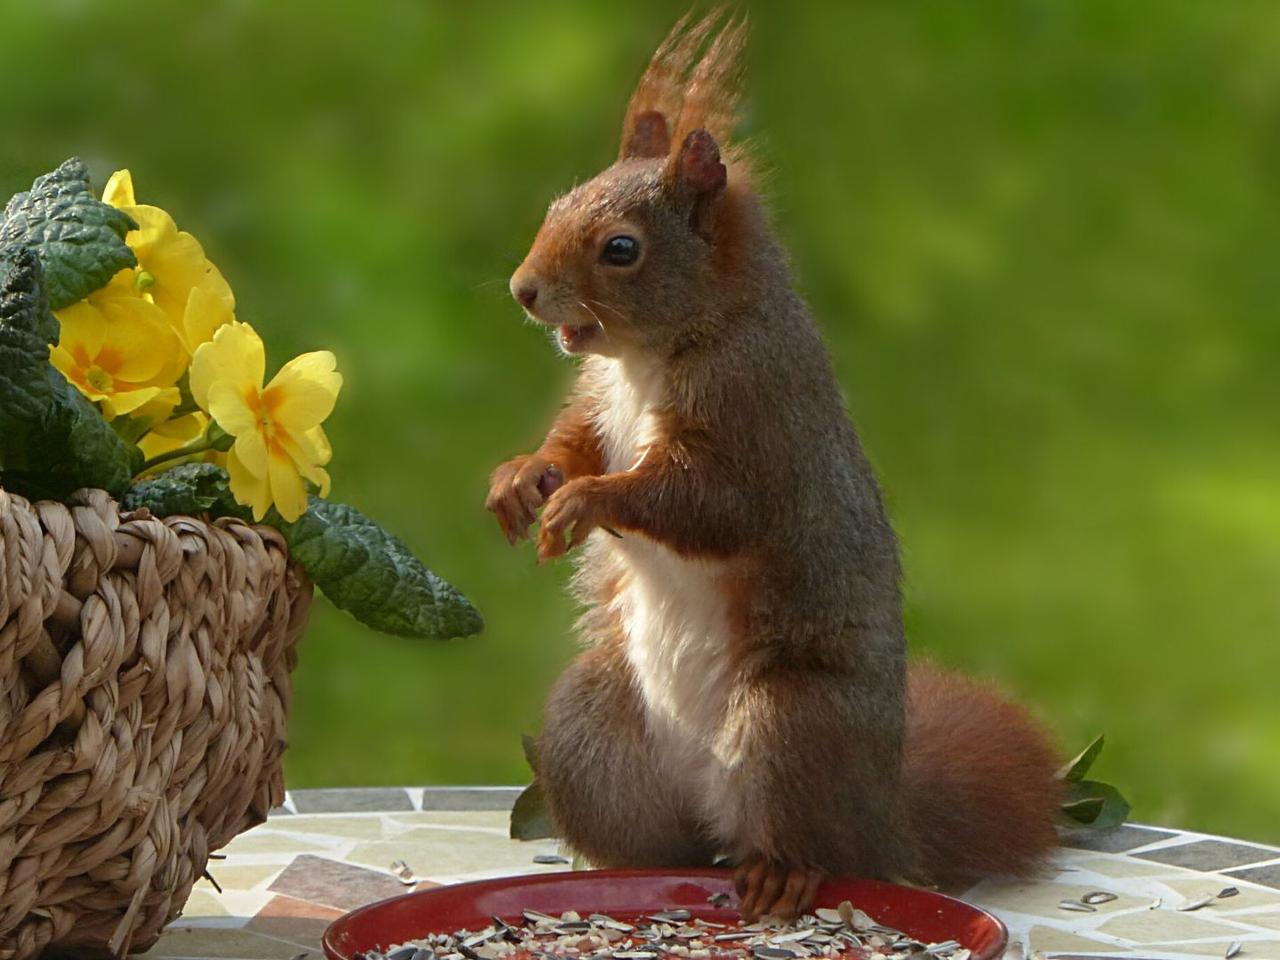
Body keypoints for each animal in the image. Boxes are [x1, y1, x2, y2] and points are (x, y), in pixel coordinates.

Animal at [483, 11, 1064, 921]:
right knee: (673, 841)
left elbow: (701, 501)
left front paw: (584, 501)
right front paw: (523, 479)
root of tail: (883, 820)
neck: (651, 356)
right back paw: (620, 873)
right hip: (587, 729)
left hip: (791, 722)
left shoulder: (757, 422)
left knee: (803, 841)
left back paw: (781, 872)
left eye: (621, 249)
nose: (522, 289)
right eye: (555, 207)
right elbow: (571, 441)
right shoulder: (598, 402)